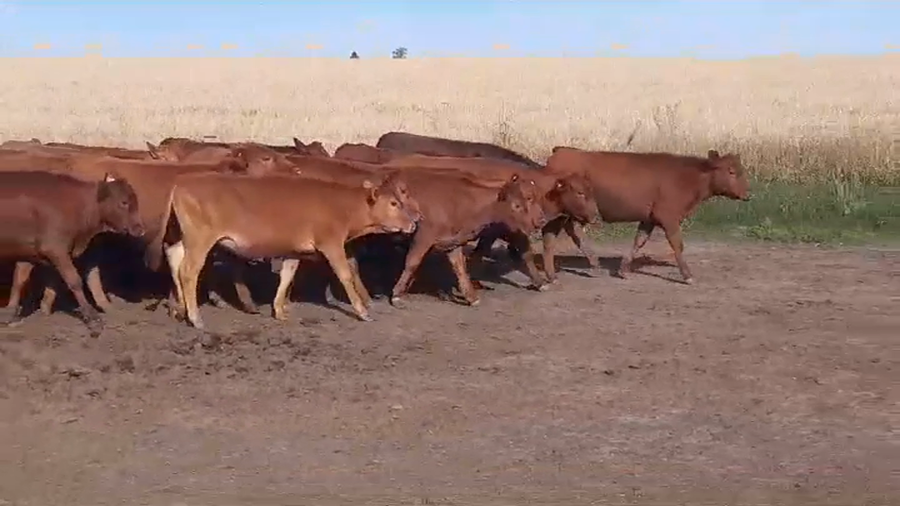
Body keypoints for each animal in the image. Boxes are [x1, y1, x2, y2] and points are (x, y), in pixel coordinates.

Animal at [0, 171, 144, 336]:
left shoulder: (30, 250)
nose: (140, 229)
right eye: (124, 202)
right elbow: (74, 281)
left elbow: (20, 279)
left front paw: (11, 314)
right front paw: (93, 319)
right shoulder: (55, 248)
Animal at [149, 171, 420, 329]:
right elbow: (345, 275)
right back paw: (195, 317)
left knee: (174, 258)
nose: (413, 222)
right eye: (393, 203)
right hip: (200, 239)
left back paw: (180, 309)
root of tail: (182, 184)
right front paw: (362, 312)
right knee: (188, 271)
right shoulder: (331, 244)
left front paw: (279, 310)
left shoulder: (294, 250)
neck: (343, 205)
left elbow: (287, 275)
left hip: (185, 238)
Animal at [543, 147, 751, 284]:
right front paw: (687, 275)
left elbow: (639, 241)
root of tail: (561, 151)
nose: (747, 195)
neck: (688, 177)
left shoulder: (649, 219)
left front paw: (624, 270)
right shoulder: (669, 218)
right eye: (731, 171)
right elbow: (677, 245)